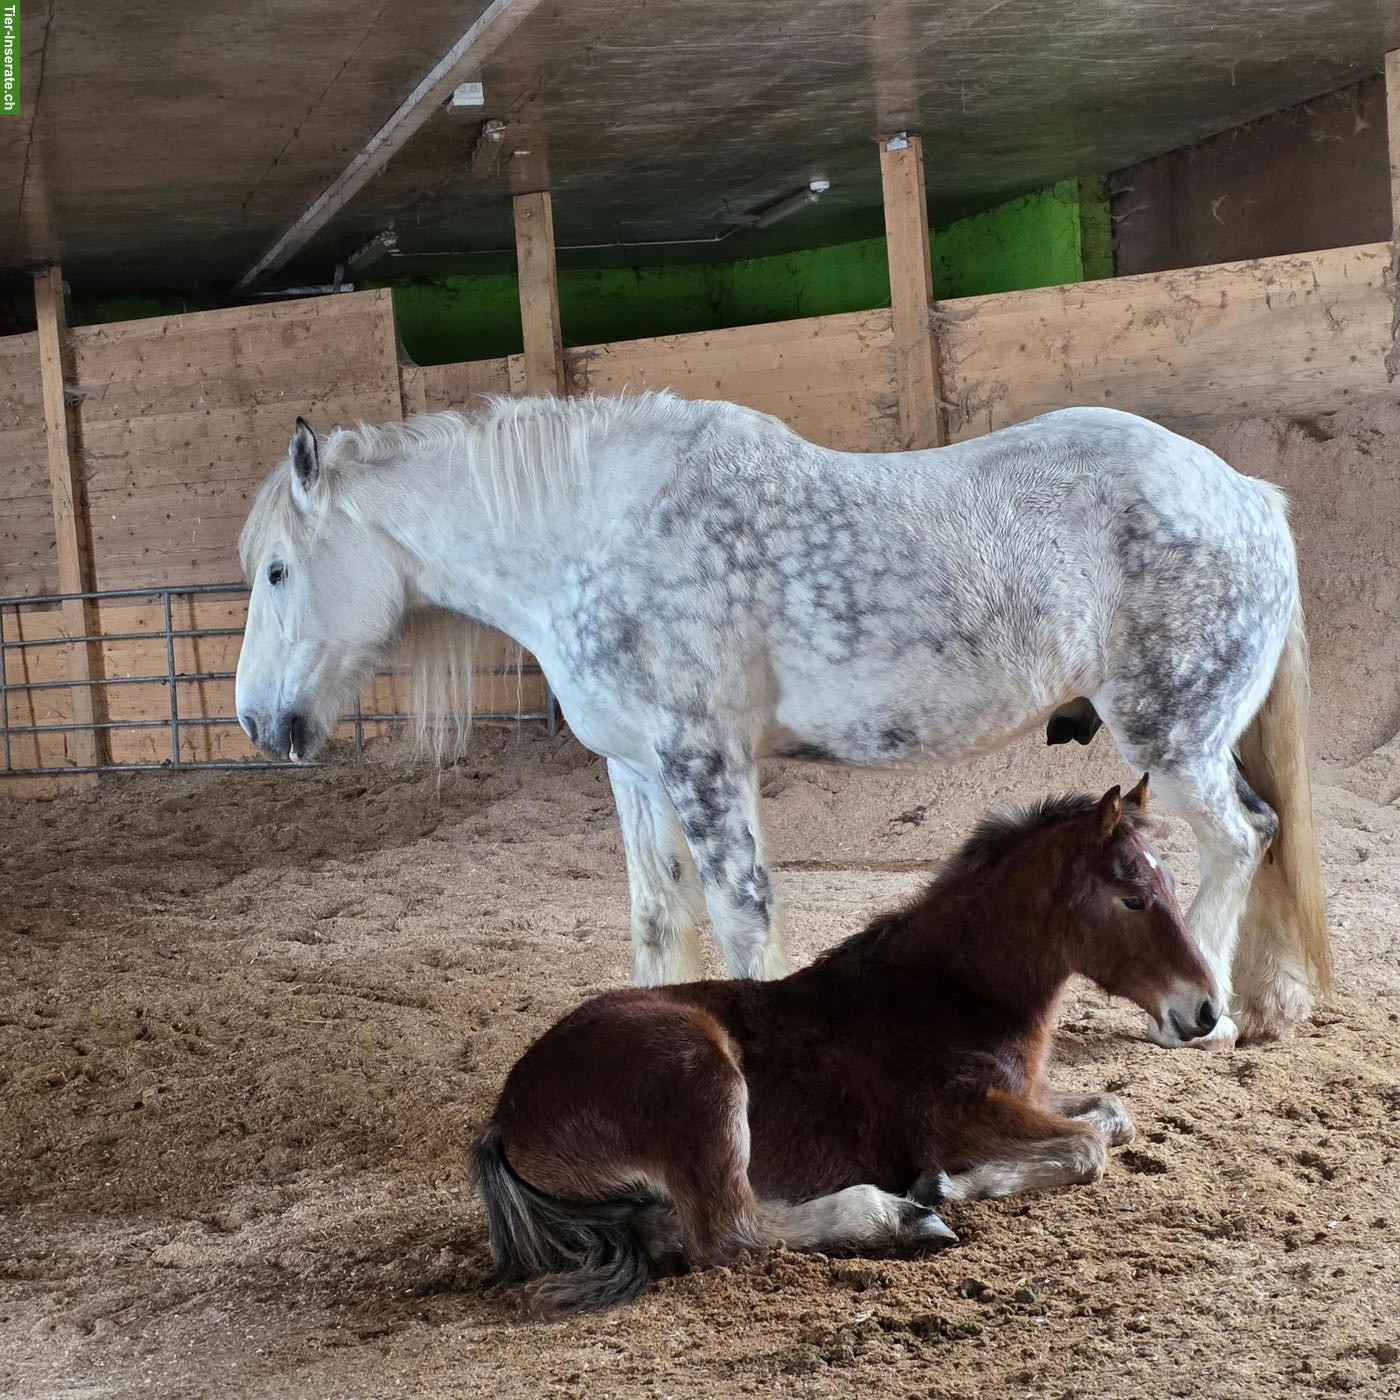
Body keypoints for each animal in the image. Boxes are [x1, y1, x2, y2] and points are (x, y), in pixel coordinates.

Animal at [233, 392, 1329, 1048]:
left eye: (279, 570)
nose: (256, 720)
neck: (596, 535)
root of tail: (1249, 496)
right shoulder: (639, 770)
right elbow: (658, 916)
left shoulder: (703, 758)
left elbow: (740, 911)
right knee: (1257, 833)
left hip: (1171, 738)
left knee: (1239, 839)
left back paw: (1205, 1015)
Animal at [473, 777, 1216, 1314]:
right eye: (1131, 898)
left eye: (1172, 882)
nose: (1206, 1010)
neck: (948, 992)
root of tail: (506, 1116)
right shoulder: (953, 1114)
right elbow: (1087, 1148)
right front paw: (944, 1184)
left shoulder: (1030, 1093)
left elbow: (1114, 1113)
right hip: (699, 1075)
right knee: (729, 1234)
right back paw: (895, 1215)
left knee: (674, 1226)